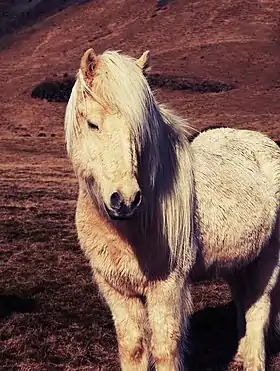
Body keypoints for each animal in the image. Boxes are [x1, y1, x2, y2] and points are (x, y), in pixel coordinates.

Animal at [64, 48, 280, 370]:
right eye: (92, 124)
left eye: (140, 130)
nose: (125, 199)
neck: (132, 227)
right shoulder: (116, 288)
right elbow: (133, 347)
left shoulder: (166, 287)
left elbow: (166, 348)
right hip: (240, 260)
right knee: (243, 301)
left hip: (268, 259)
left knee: (258, 308)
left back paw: (253, 360)